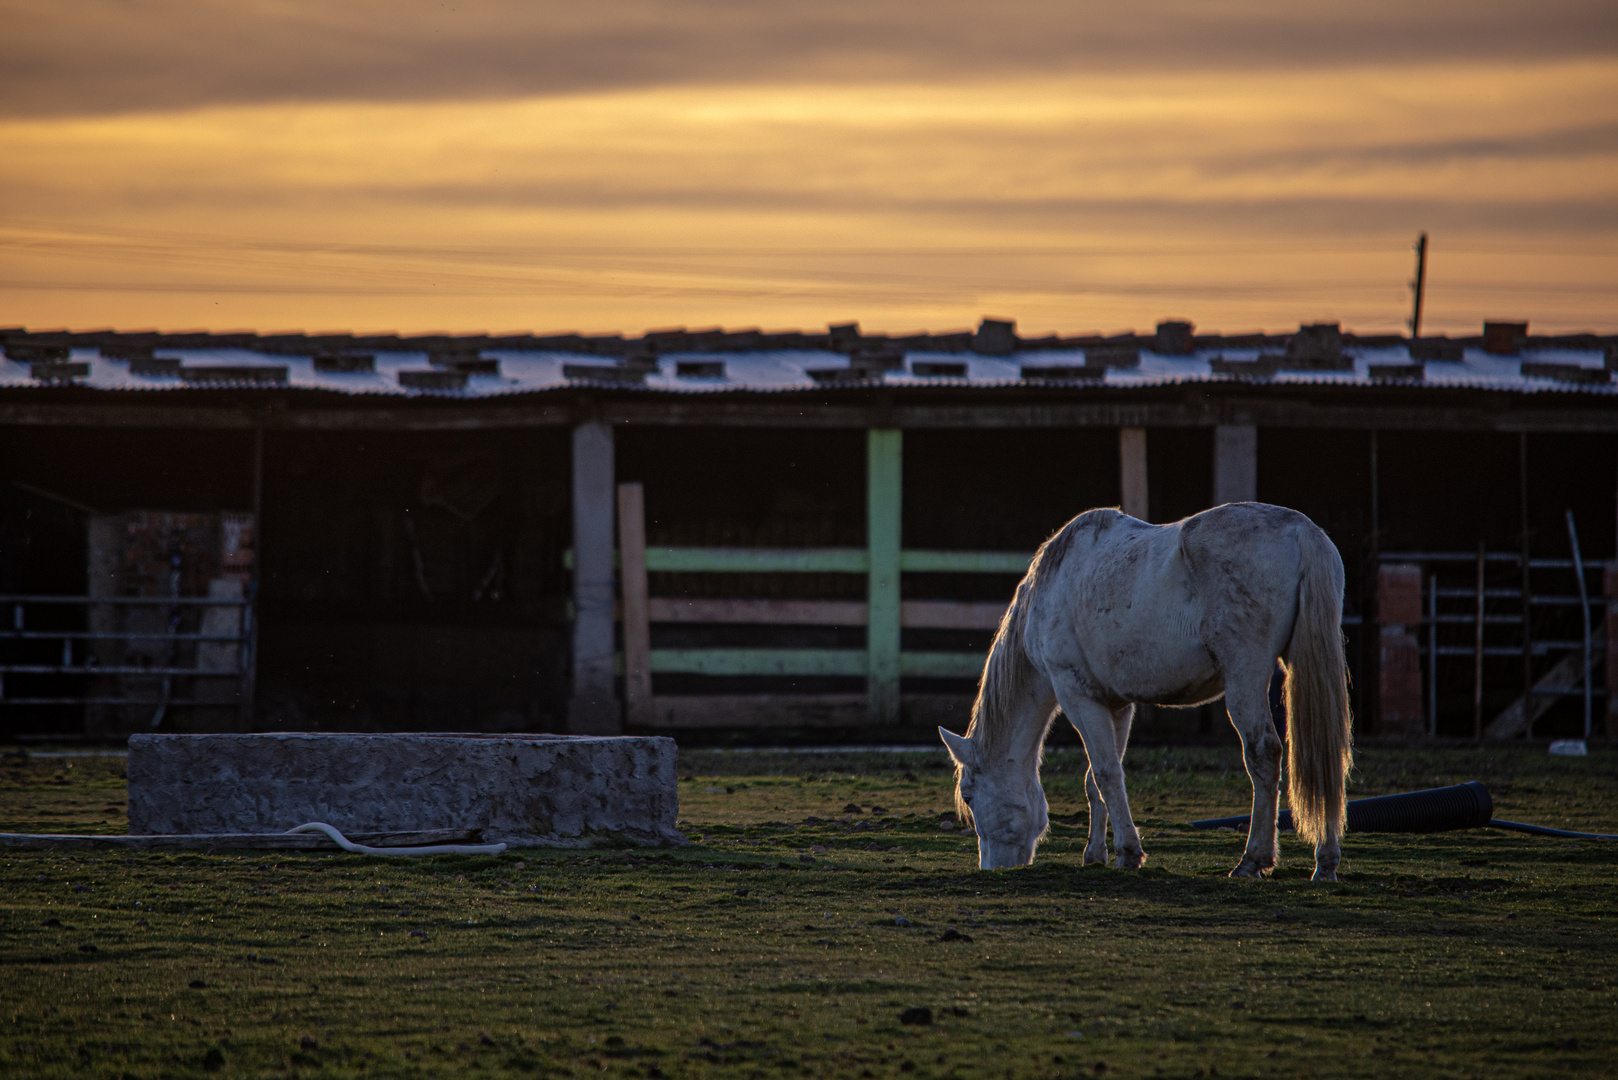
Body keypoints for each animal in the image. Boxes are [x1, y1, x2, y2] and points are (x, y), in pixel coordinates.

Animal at [938, 501, 1352, 880]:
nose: (991, 868)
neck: (1056, 581)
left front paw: (1128, 852)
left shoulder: (1076, 695)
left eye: (969, 796)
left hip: (1245, 677)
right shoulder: (1116, 704)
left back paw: (1252, 861)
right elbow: (1097, 781)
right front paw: (1096, 855)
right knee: (1325, 756)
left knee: (1263, 754)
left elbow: (1105, 773)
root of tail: (1301, 531)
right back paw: (1326, 862)